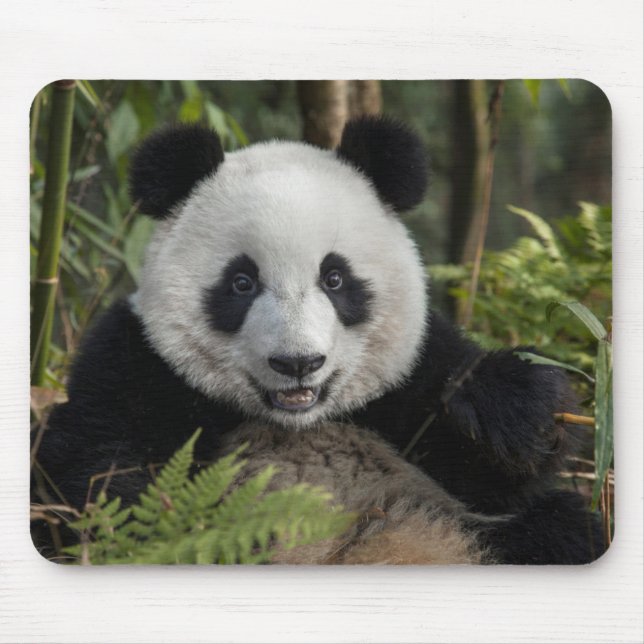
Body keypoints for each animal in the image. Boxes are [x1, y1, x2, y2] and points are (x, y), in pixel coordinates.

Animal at [32, 117, 604, 564]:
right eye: (242, 282)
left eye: (335, 278)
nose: (297, 363)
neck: (295, 422)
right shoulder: (137, 363)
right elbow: (96, 476)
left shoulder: (411, 376)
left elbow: (494, 476)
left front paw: (509, 407)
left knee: (561, 529)